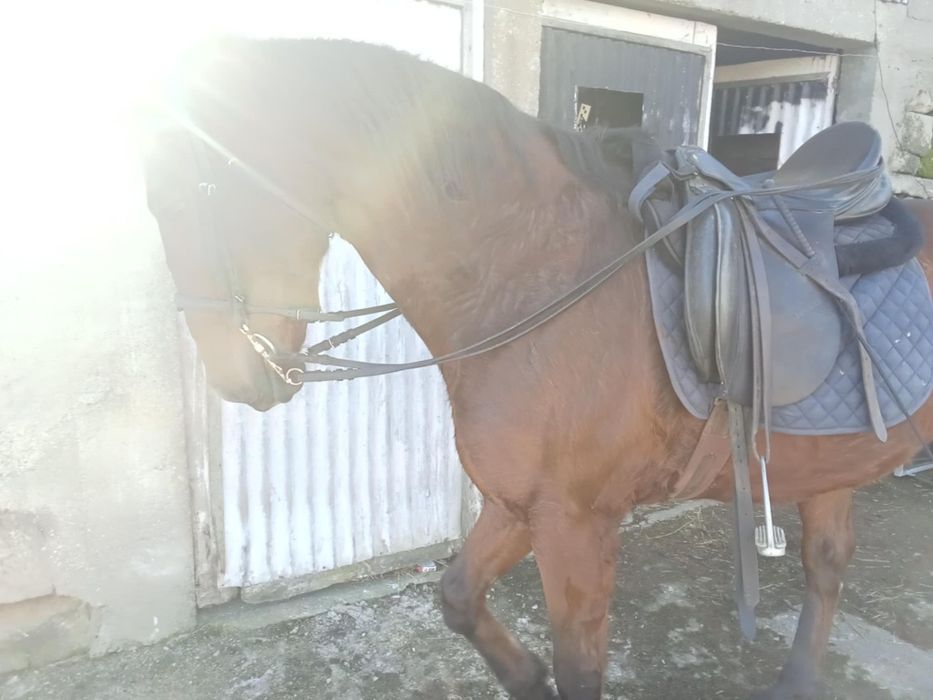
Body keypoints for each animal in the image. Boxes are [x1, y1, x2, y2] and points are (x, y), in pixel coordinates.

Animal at [140, 37, 933, 700]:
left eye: (198, 196)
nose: (239, 378)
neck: (534, 276)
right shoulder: (519, 504)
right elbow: (458, 596)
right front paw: (524, 678)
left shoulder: (576, 523)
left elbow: (579, 670)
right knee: (826, 562)